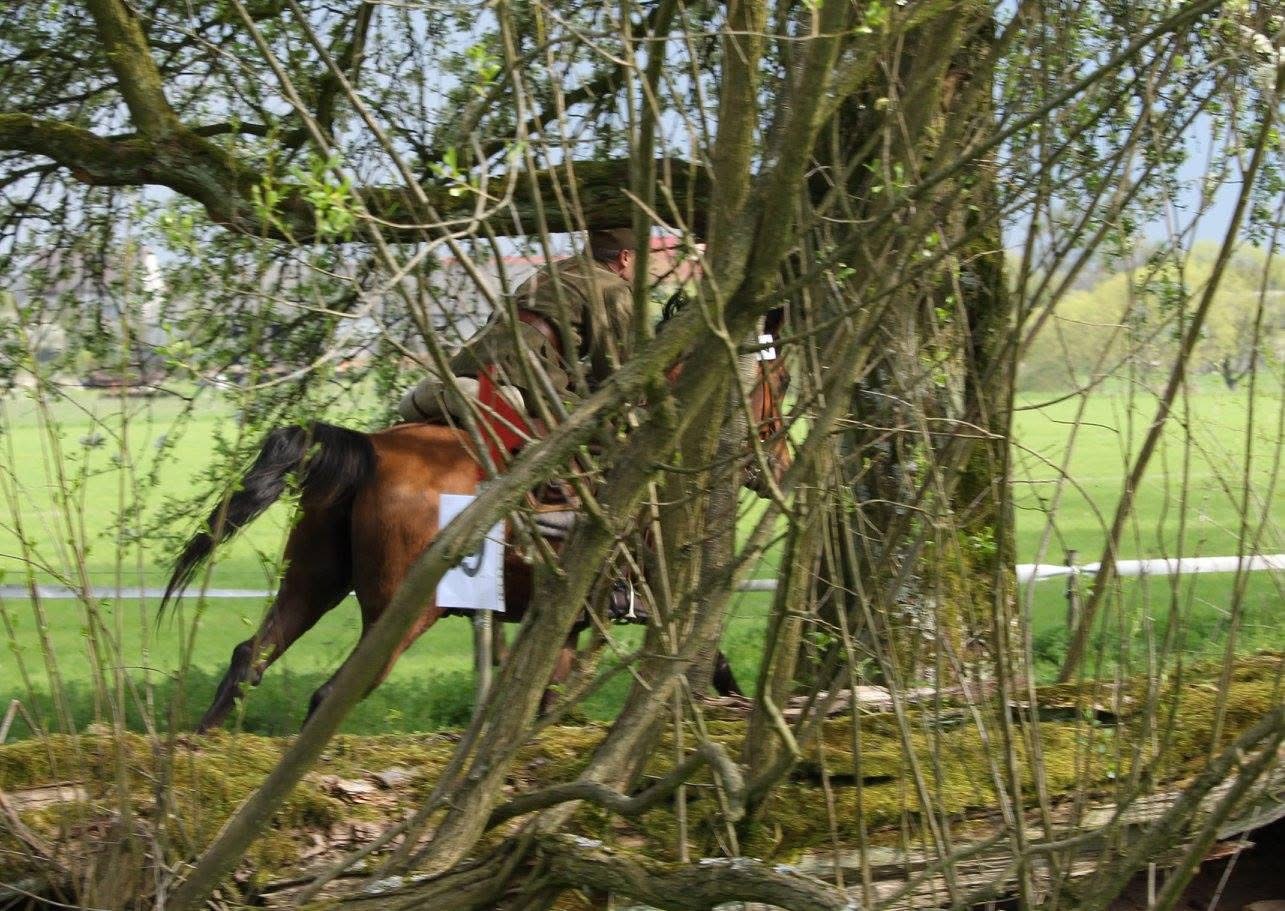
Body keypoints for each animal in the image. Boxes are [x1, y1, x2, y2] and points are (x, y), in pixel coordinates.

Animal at [160, 320, 791, 732]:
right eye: (780, 385)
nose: (780, 464)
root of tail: (373, 449)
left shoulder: (564, 623)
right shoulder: (634, 597)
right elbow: (706, 656)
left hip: (314, 582)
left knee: (249, 658)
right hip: (405, 612)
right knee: (332, 693)